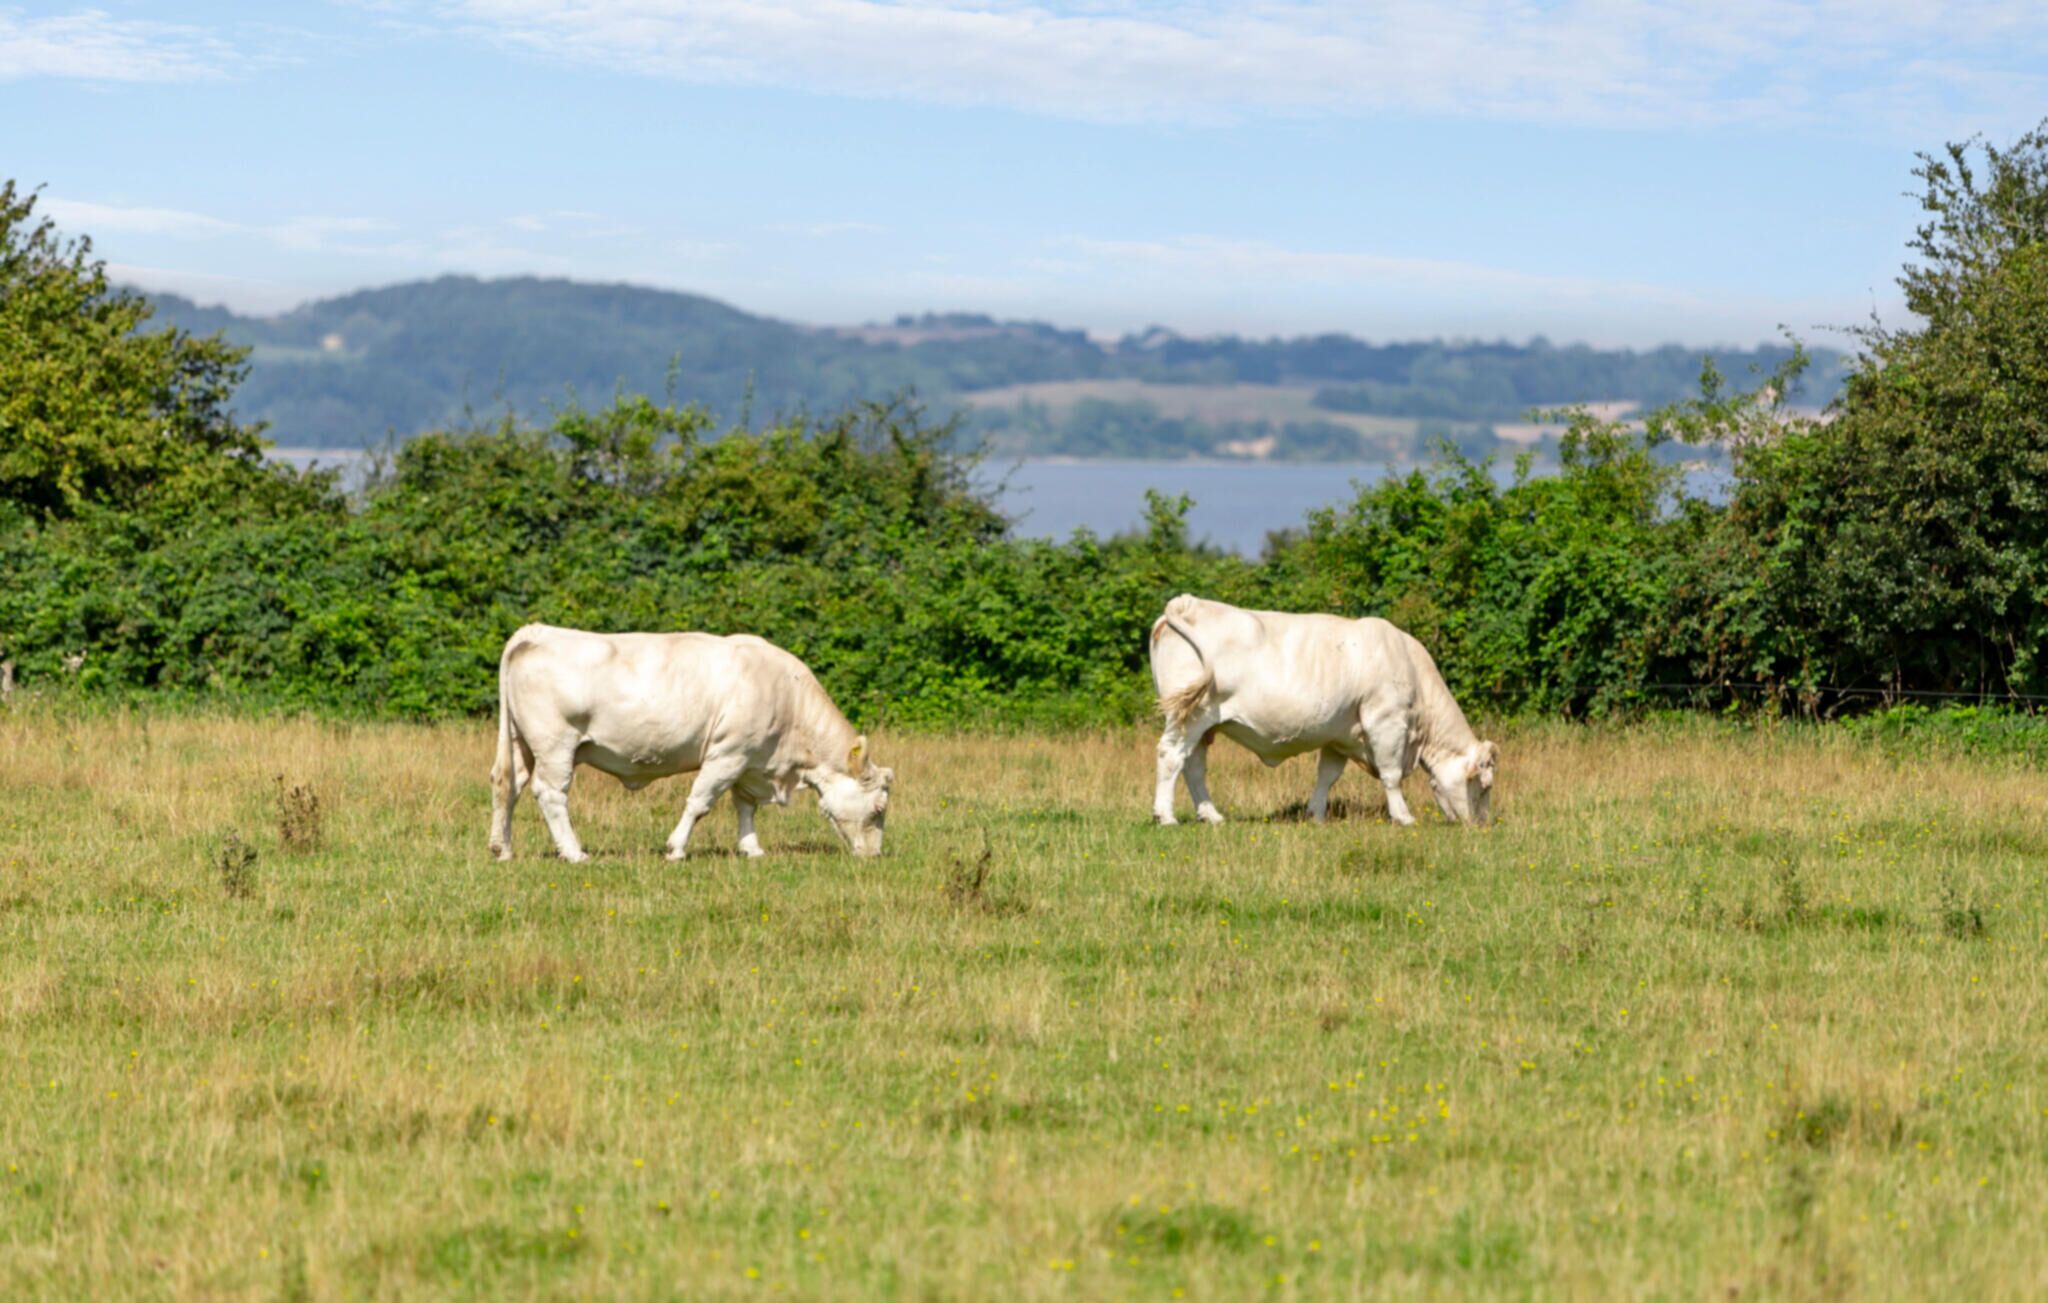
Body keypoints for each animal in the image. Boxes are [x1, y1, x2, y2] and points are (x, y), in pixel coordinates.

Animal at [488, 624, 893, 863]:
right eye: (878, 809)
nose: (874, 855)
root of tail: (535, 632)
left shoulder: (749, 760)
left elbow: (745, 807)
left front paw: (752, 848)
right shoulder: (728, 754)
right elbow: (700, 803)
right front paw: (675, 849)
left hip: (520, 743)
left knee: (507, 785)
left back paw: (502, 848)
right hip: (555, 745)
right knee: (550, 794)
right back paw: (574, 853)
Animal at [1147, 594, 1497, 827]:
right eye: (1484, 785)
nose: (1482, 825)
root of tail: (1184, 604)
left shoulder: (1339, 734)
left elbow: (1327, 776)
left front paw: (1315, 815)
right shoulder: (1386, 721)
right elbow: (1391, 774)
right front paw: (1404, 817)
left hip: (1202, 724)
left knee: (1194, 766)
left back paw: (1212, 815)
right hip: (1192, 716)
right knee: (1171, 756)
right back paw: (1166, 816)